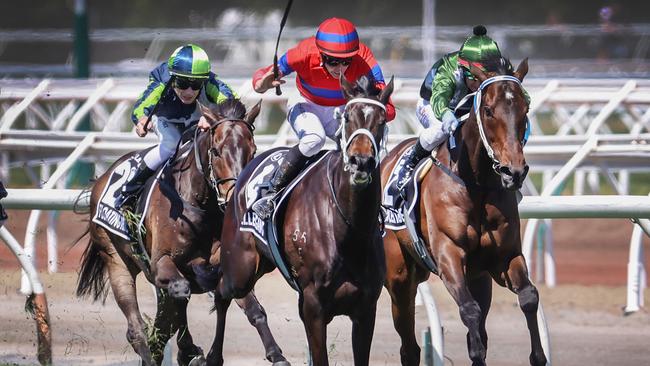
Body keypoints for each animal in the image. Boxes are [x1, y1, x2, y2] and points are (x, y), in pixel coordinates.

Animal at [73, 100, 288, 366]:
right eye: (216, 151)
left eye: (253, 150)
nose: (234, 196)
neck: (198, 203)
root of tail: (102, 178)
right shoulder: (161, 261)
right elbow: (180, 294)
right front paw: (189, 350)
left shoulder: (223, 262)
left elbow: (250, 307)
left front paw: (276, 354)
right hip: (116, 260)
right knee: (139, 326)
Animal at [215, 75, 392, 366]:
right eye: (347, 118)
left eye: (382, 120)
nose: (361, 161)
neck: (348, 231)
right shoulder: (313, 306)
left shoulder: (366, 309)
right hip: (239, 268)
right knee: (222, 292)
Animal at [382, 58, 544, 364]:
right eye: (488, 110)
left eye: (525, 109)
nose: (514, 171)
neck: (476, 184)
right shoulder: (449, 254)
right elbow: (469, 311)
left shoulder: (504, 257)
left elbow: (529, 296)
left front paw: (538, 356)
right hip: (400, 277)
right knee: (408, 344)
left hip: (478, 278)